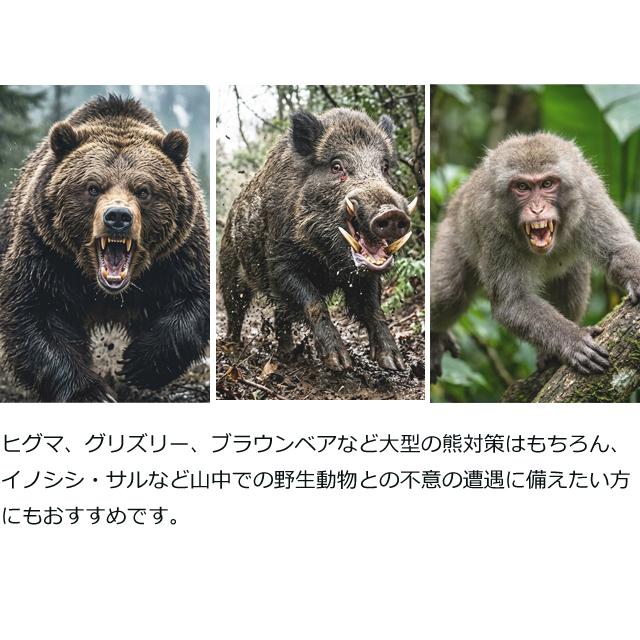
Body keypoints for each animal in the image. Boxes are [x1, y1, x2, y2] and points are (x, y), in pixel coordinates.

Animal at [0, 95, 210, 402]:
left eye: (144, 190)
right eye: (92, 187)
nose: (118, 217)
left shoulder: (177, 254)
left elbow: (193, 299)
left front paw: (138, 363)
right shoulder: (47, 252)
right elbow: (36, 312)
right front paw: (90, 392)